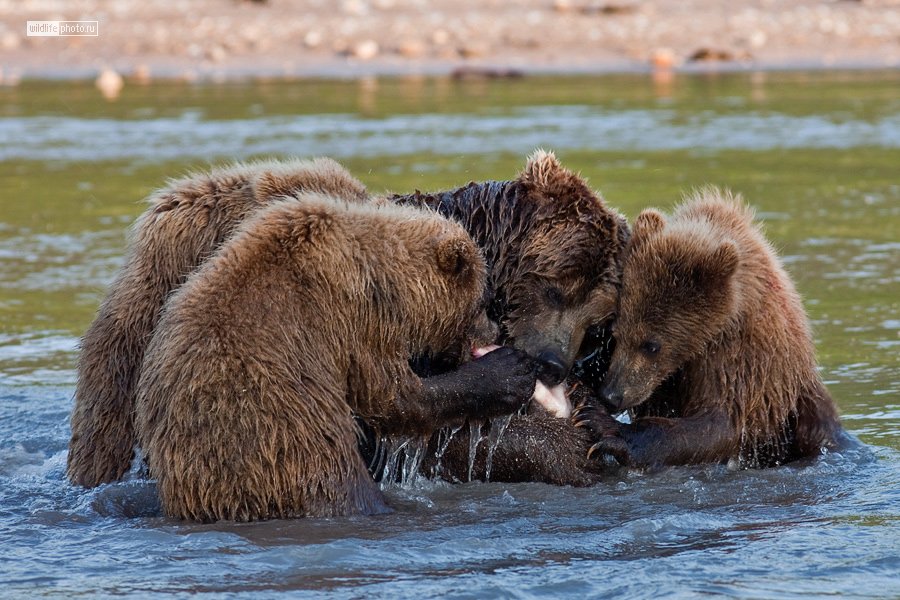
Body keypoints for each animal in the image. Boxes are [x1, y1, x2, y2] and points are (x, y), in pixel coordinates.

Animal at [134, 193, 520, 520]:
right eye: (483, 299)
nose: (495, 330)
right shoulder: (353, 318)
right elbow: (395, 398)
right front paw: (507, 371)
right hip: (292, 447)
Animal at [576, 188, 844, 468]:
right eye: (617, 334)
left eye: (651, 345)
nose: (611, 394)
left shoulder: (740, 361)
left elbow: (718, 426)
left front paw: (602, 424)